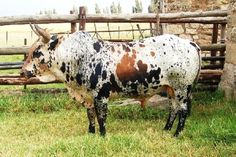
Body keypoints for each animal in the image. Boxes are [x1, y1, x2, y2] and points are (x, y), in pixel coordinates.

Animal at [20, 24, 201, 136]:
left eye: (37, 51)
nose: (22, 71)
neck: (78, 57)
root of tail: (189, 43)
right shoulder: (88, 96)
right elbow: (90, 115)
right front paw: (91, 133)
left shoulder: (101, 95)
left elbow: (101, 117)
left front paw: (102, 135)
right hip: (171, 89)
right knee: (173, 109)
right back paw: (166, 129)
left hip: (182, 88)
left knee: (183, 110)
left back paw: (177, 133)